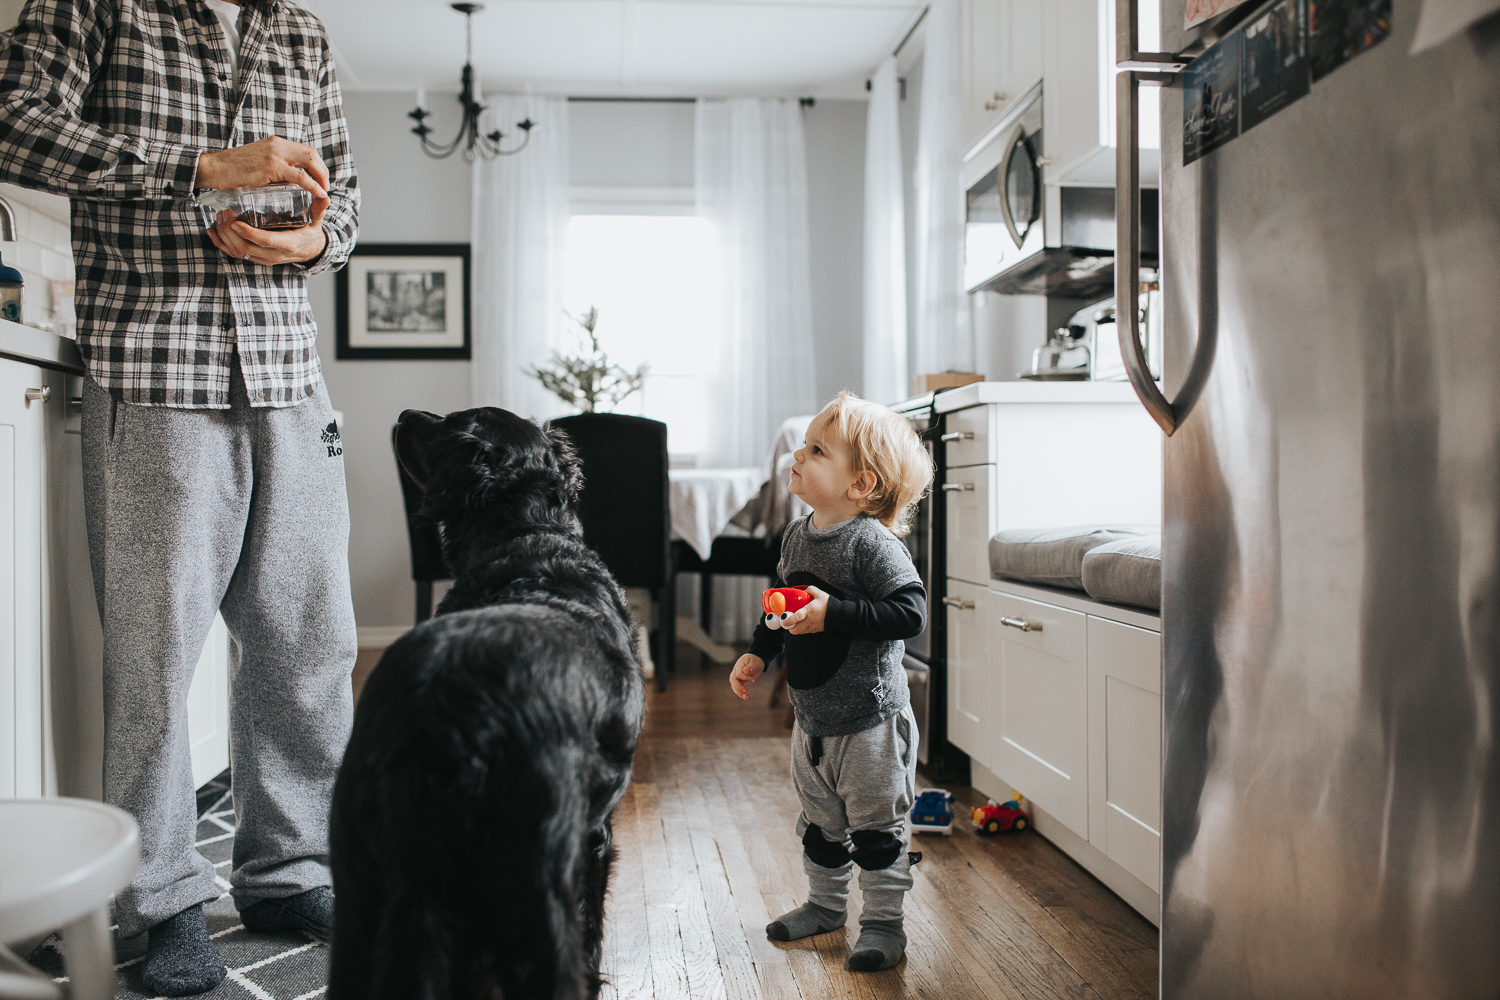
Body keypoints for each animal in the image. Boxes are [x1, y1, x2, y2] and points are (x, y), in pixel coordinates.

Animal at [330, 404, 645, 1000]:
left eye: (451, 424)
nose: (404, 414)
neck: (527, 539)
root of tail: (441, 719)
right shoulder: (594, 836)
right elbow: (592, 936)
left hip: (359, 895)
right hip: (536, 891)